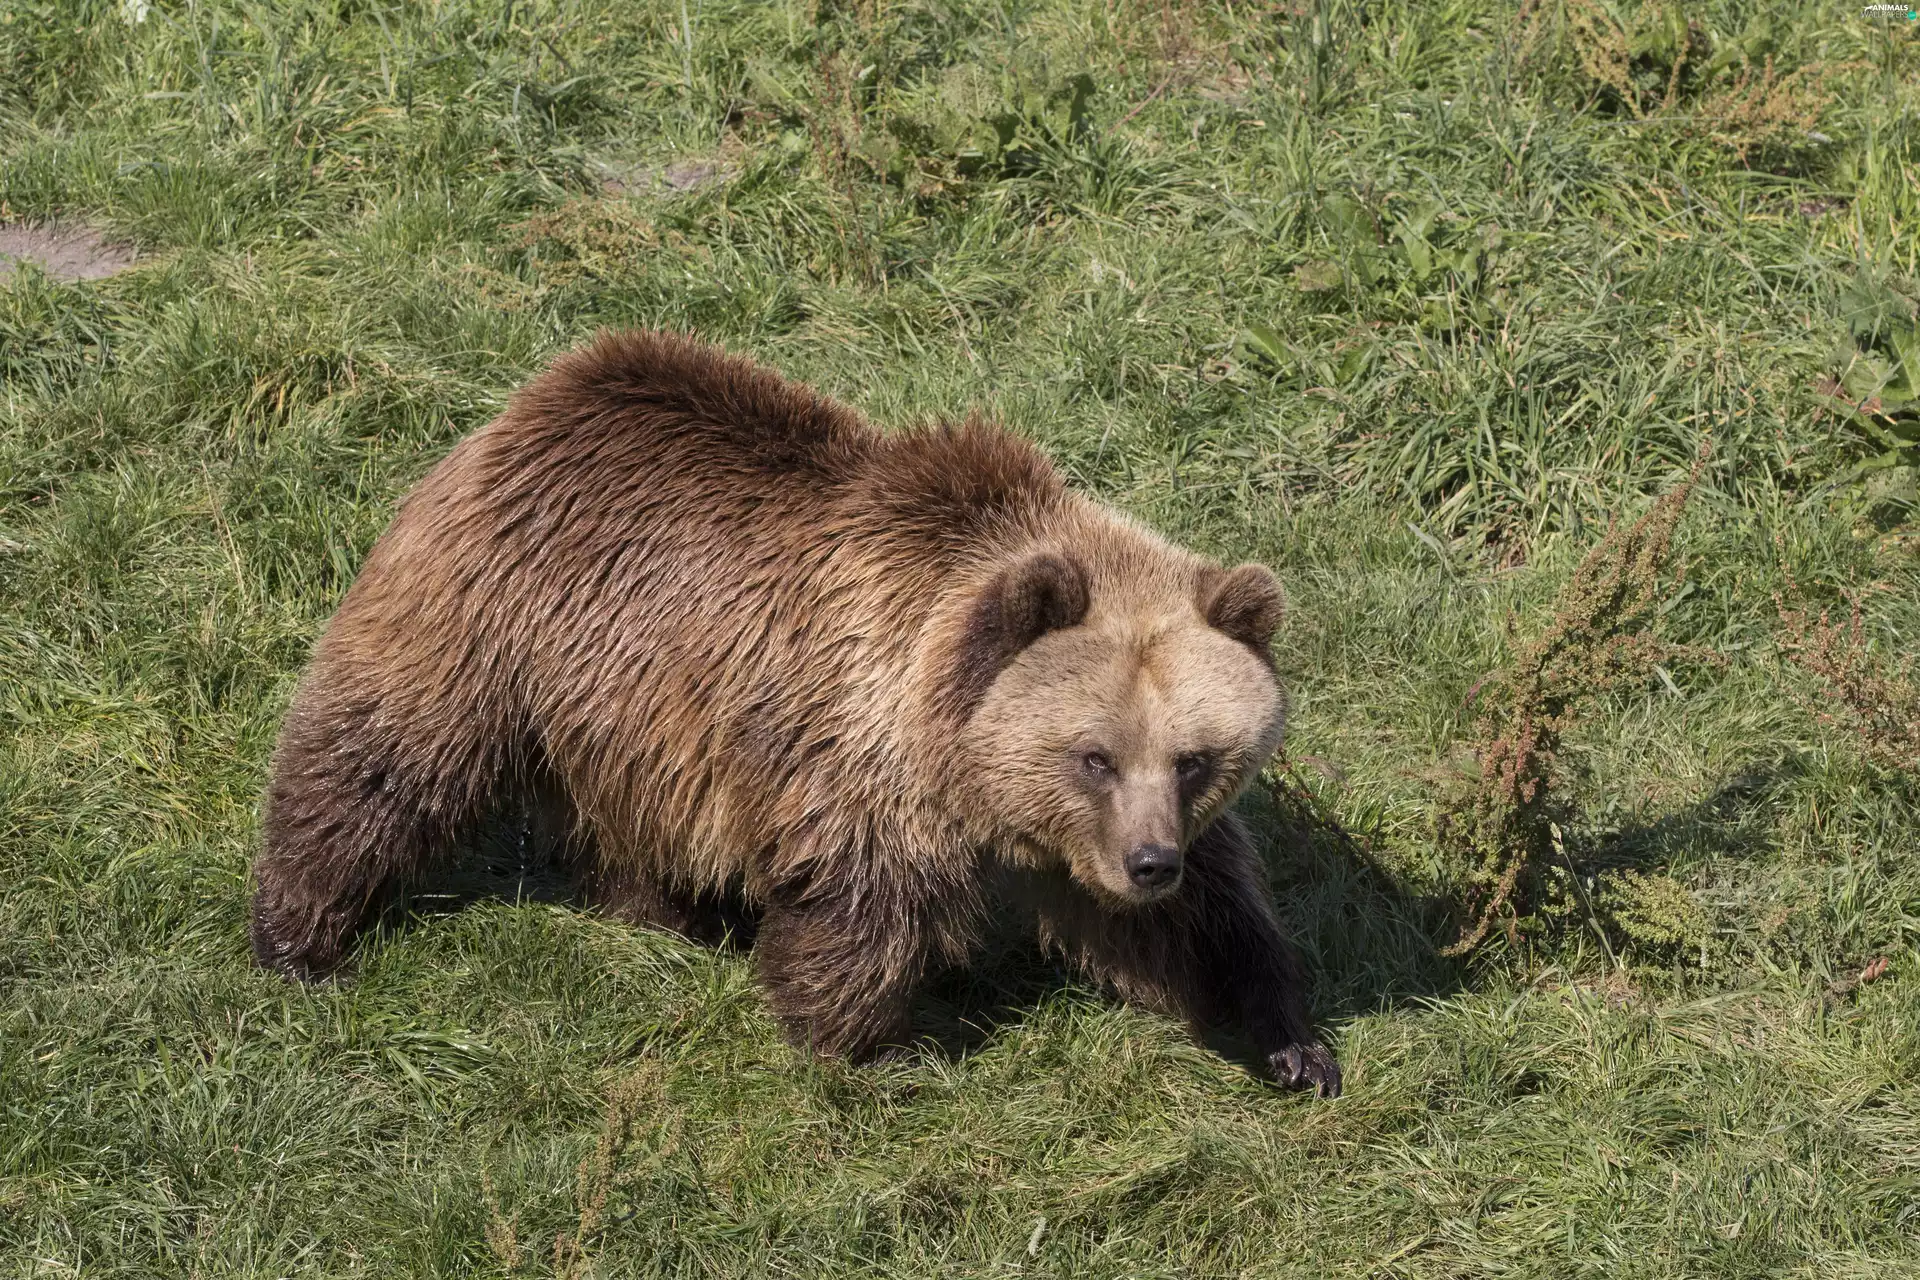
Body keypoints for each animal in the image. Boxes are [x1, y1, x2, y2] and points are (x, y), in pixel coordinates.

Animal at [250, 329, 1341, 1097]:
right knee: (382, 756)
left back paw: (672, 911)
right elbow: (861, 909)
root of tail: (544, 391)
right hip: (493, 614)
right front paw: (877, 1050)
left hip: (629, 709)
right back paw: (299, 937)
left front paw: (1291, 1040)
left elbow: (1208, 918)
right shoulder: (862, 752)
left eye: (1195, 758)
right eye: (1094, 756)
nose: (1149, 862)